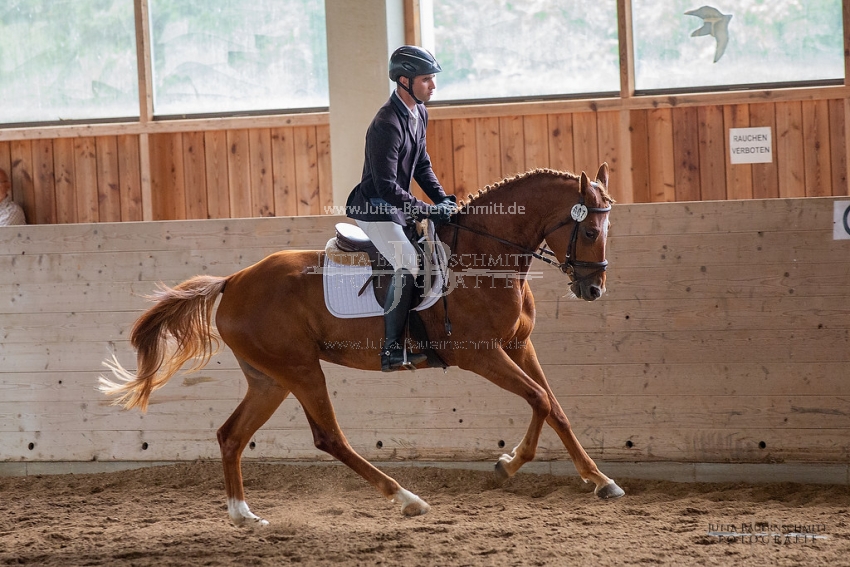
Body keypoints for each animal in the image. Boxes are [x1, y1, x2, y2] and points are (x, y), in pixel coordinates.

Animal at [102, 163, 628, 528]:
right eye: (587, 229)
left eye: (607, 230)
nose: (592, 289)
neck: (484, 257)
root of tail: (234, 281)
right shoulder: (480, 354)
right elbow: (539, 398)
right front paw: (510, 465)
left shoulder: (518, 347)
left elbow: (553, 406)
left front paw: (597, 479)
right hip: (300, 370)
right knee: (328, 437)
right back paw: (406, 499)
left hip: (270, 378)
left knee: (231, 435)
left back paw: (243, 515)